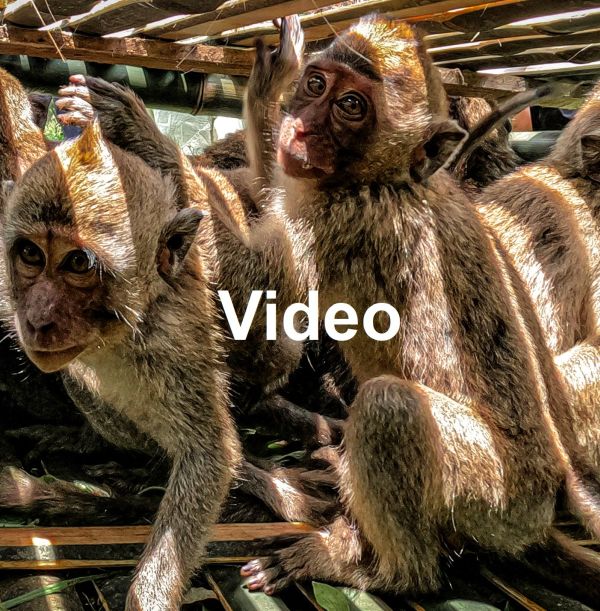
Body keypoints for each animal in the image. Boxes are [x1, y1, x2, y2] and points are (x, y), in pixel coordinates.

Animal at [1, 122, 241, 608]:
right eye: (31, 255)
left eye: (78, 262)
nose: (37, 319)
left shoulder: (175, 346)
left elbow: (210, 453)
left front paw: (151, 595)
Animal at [229, 13, 600, 604]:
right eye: (316, 85)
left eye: (350, 106)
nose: (301, 129)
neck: (384, 178)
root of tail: (541, 515)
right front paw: (272, 84)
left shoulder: (341, 224)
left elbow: (251, 297)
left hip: (492, 496)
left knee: (391, 406)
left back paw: (376, 568)